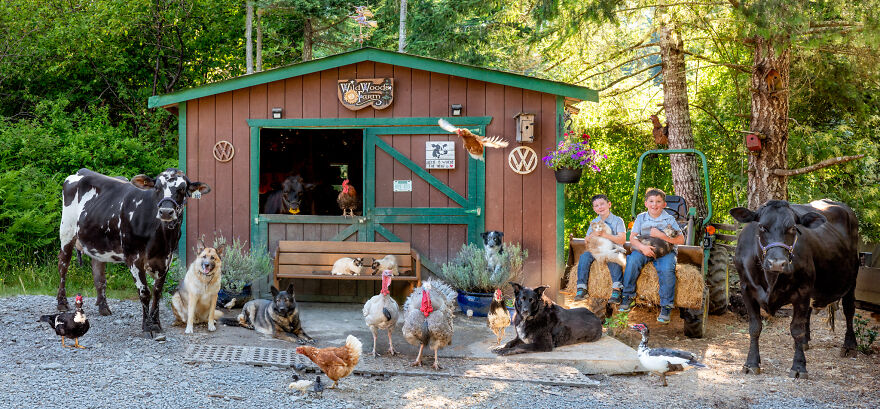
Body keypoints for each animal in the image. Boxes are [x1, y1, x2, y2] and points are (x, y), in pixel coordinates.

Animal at [57, 167, 211, 336]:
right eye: (157, 188)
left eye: (182, 189)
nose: (165, 211)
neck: (160, 236)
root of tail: (82, 171)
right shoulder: (134, 258)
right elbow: (144, 292)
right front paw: (147, 326)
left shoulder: (166, 259)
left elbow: (157, 292)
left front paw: (156, 323)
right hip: (66, 232)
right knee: (63, 266)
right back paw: (62, 303)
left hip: (96, 240)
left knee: (98, 272)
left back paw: (103, 306)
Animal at [728, 199, 860, 378]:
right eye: (762, 226)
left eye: (792, 228)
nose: (777, 263)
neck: (770, 280)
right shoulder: (746, 289)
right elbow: (755, 327)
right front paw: (751, 363)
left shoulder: (802, 290)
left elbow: (797, 329)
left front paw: (798, 367)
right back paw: (805, 343)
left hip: (852, 279)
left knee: (849, 310)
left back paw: (849, 346)